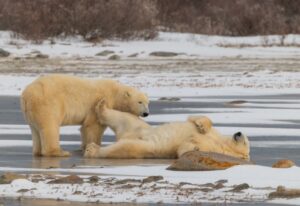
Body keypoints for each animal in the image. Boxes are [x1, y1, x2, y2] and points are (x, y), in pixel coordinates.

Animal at [20, 75, 149, 157]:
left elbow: (84, 128)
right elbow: (94, 125)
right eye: (140, 102)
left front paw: (83, 147)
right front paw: (93, 145)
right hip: (48, 105)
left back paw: (37, 152)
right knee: (50, 127)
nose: (146, 113)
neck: (115, 92)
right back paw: (60, 152)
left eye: (148, 102)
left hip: (31, 113)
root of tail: (27, 95)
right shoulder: (100, 101)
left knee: (35, 129)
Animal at [83, 99, 250, 160]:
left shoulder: (213, 148)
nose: (239, 133)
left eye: (245, 142)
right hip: (139, 126)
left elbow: (183, 149)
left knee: (124, 147)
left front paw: (193, 148)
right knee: (123, 117)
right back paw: (101, 105)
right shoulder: (215, 136)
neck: (222, 144)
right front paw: (201, 125)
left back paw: (92, 150)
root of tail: (124, 135)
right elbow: (197, 120)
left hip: (143, 144)